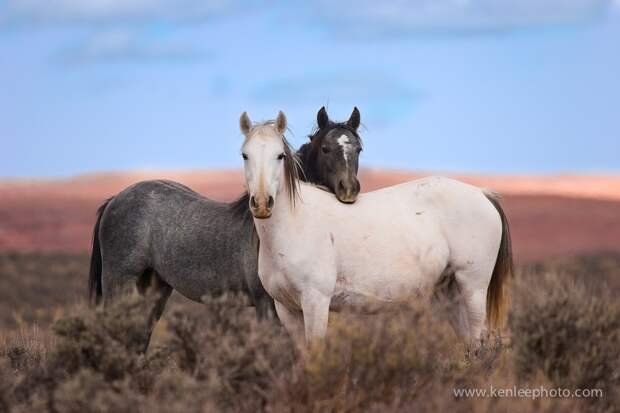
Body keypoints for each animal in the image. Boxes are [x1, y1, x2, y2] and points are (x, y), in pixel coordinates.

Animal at [85, 107, 360, 350]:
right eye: (325, 148)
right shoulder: (267, 305)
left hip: (154, 287)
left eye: (358, 148)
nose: (348, 190)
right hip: (119, 283)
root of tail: (115, 199)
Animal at [237, 111, 512, 342]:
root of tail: (482, 193)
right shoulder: (287, 310)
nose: (261, 203)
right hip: (448, 292)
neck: (294, 225)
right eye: (245, 155)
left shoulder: (316, 302)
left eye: (280, 155)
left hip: (473, 289)